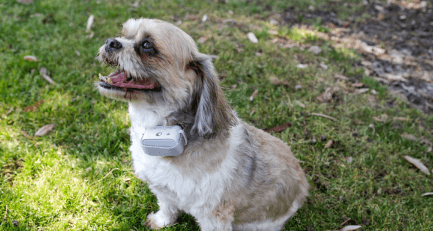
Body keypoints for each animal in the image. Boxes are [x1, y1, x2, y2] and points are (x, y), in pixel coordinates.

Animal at [96, 18, 308, 231]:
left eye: (147, 45)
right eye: (124, 34)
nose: (111, 42)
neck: (159, 129)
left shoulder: (213, 215)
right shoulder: (162, 188)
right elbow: (167, 206)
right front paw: (161, 221)